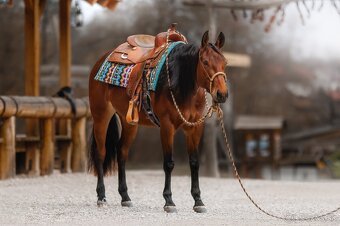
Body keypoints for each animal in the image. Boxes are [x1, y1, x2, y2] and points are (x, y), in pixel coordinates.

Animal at [87, 30, 228, 214]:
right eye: (205, 62)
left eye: (225, 63)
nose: (222, 94)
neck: (179, 81)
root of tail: (101, 60)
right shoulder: (167, 126)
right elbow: (168, 163)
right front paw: (169, 201)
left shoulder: (195, 127)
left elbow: (194, 163)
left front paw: (198, 201)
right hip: (101, 116)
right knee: (101, 153)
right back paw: (101, 196)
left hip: (129, 122)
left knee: (121, 153)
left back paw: (125, 197)